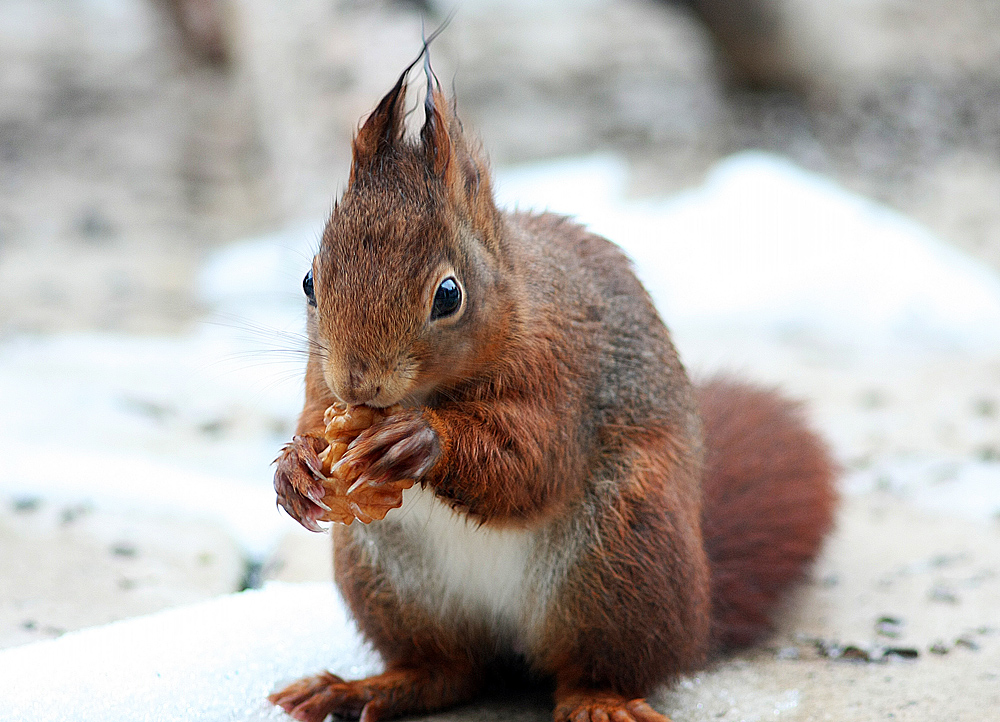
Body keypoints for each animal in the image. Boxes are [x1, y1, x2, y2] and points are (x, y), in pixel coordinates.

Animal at [268, 43, 836, 720]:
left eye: (449, 295)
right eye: (308, 281)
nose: (360, 384)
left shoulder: (561, 372)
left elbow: (533, 461)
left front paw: (421, 441)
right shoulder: (318, 382)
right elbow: (312, 417)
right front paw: (295, 467)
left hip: (623, 557)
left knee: (602, 664)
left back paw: (599, 699)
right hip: (387, 582)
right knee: (448, 672)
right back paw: (365, 688)